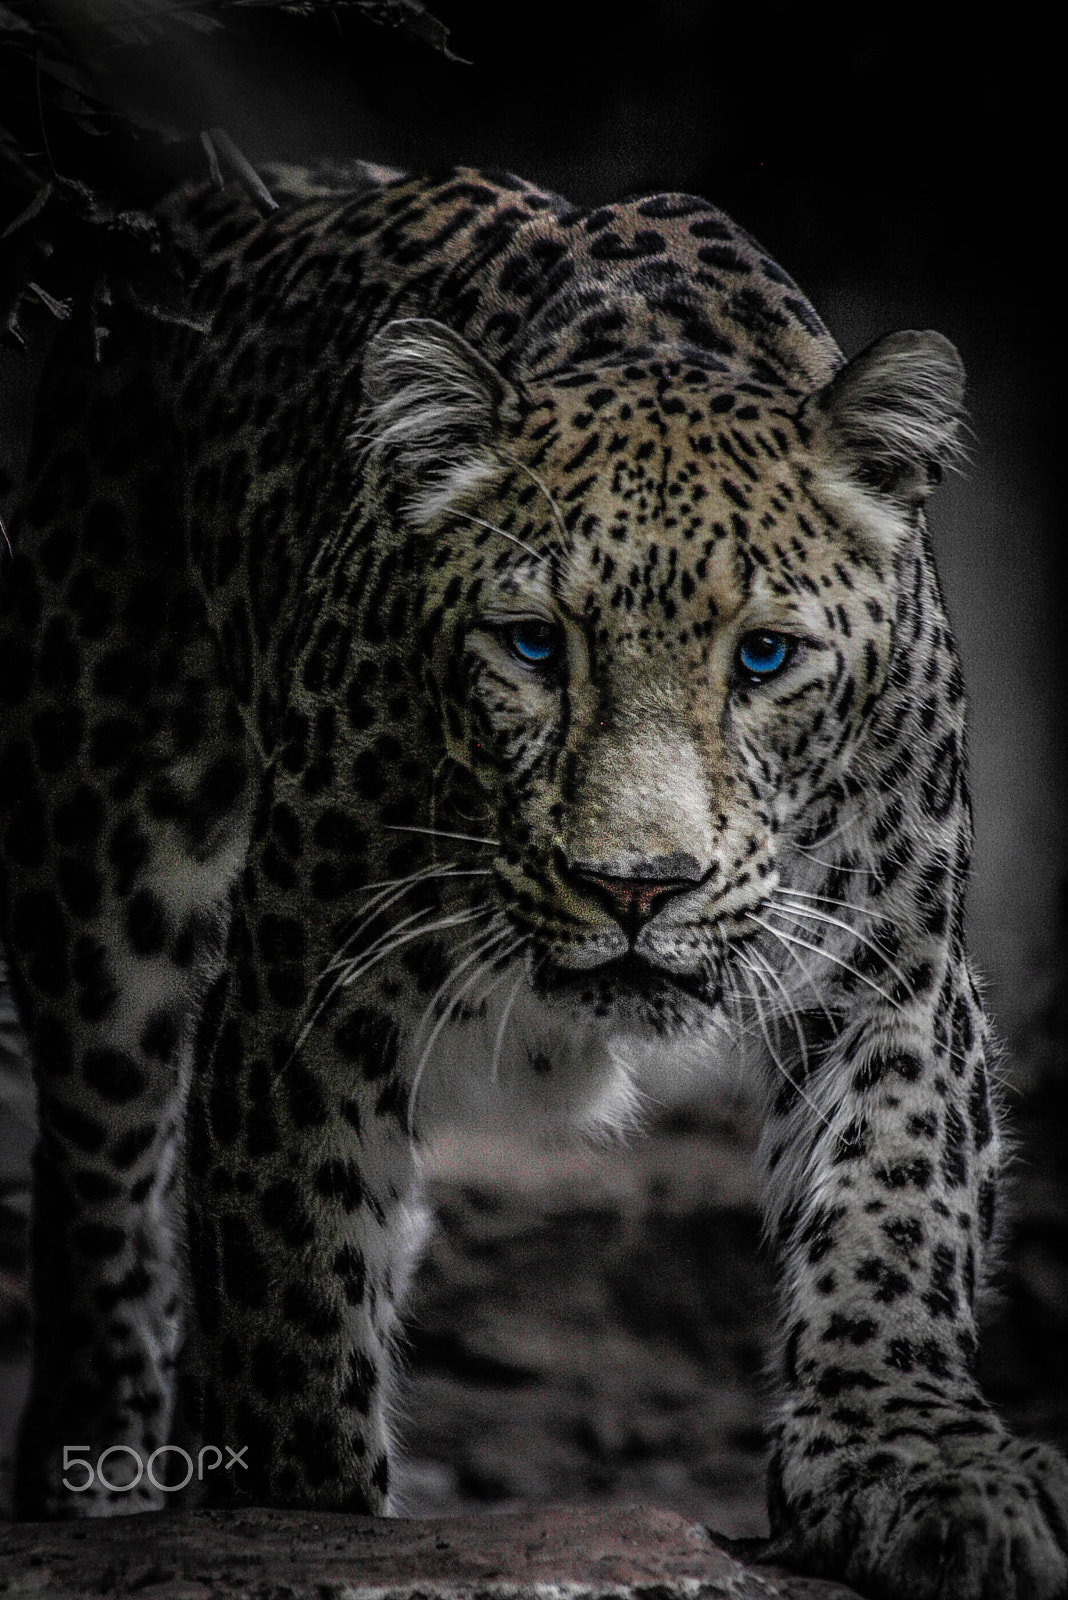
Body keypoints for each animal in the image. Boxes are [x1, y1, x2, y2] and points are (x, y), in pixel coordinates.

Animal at [1, 159, 1066, 1599]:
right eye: (530, 645)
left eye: (766, 657)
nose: (638, 887)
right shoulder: (301, 999)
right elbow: (296, 1302)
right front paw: (305, 1523)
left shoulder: (891, 972)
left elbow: (895, 1212)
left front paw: (912, 1466)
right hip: (107, 854)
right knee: (103, 1193)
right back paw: (99, 1477)